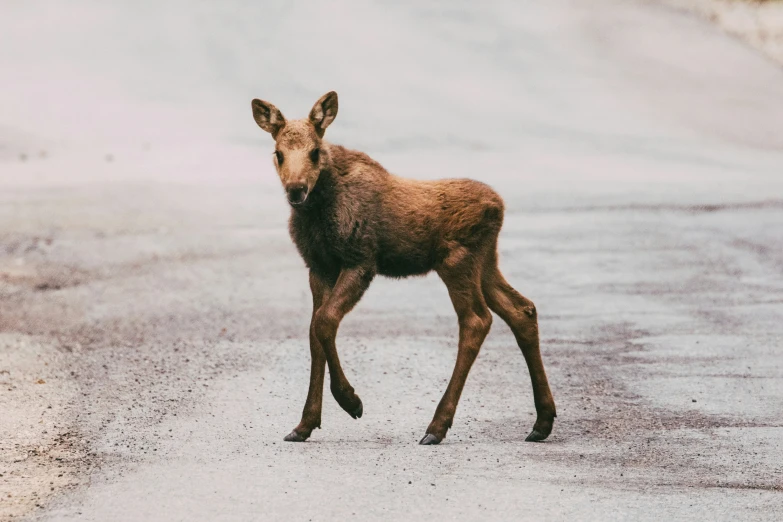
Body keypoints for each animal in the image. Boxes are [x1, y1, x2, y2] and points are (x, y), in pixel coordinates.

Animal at [251, 91, 556, 440]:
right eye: (278, 153)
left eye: (315, 152)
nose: (296, 189)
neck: (320, 212)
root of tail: (500, 207)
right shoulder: (318, 267)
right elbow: (315, 333)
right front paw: (304, 424)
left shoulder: (361, 259)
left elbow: (325, 322)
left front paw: (351, 401)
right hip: (486, 262)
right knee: (522, 310)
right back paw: (542, 421)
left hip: (457, 261)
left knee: (477, 320)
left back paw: (437, 426)